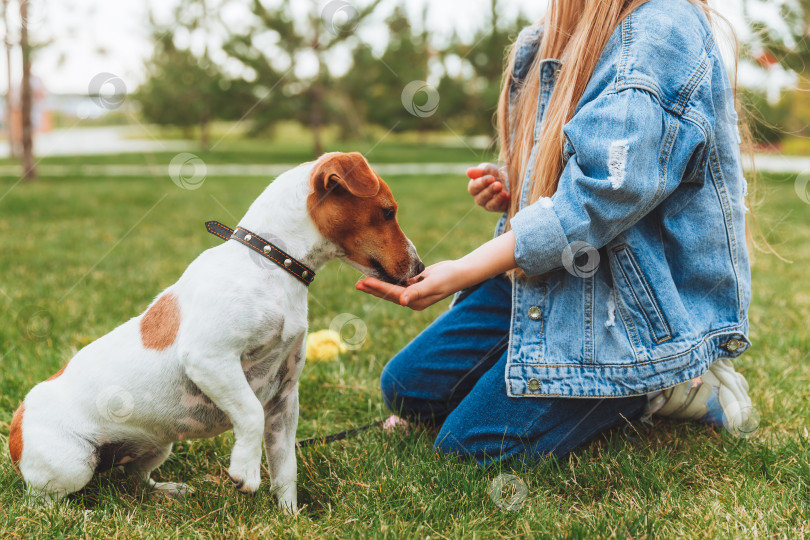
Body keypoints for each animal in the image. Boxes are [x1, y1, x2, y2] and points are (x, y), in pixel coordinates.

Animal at [7, 151, 422, 510]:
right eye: (388, 211)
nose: (419, 268)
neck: (271, 263)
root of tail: (16, 420)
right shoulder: (210, 359)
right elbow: (250, 414)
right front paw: (245, 472)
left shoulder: (284, 399)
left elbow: (285, 468)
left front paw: (290, 516)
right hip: (73, 464)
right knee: (44, 503)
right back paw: (81, 515)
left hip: (156, 446)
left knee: (134, 479)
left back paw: (167, 490)